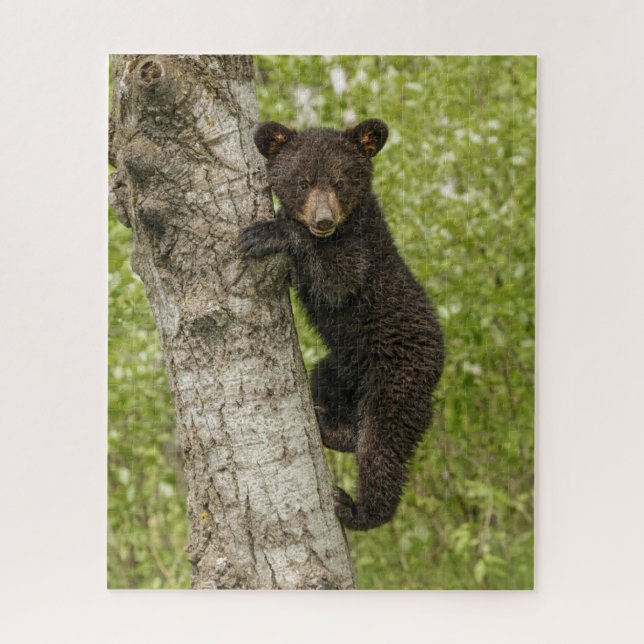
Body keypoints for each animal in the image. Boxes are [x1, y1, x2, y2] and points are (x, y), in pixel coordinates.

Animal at [240, 118, 444, 530]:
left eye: (339, 181)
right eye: (303, 182)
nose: (323, 220)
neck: (347, 224)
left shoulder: (362, 250)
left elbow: (338, 278)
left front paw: (268, 232)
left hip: (396, 383)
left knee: (382, 450)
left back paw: (357, 509)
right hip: (343, 367)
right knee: (327, 388)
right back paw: (328, 425)